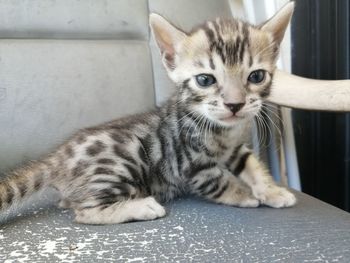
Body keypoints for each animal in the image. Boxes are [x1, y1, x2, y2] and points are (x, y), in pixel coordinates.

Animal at [0, 2, 296, 225]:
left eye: (256, 76)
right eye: (205, 80)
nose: (235, 105)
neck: (221, 131)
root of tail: (58, 157)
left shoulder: (235, 150)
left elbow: (252, 165)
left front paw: (272, 191)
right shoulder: (190, 164)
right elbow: (221, 182)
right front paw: (247, 196)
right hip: (122, 158)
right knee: (84, 211)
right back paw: (141, 207)